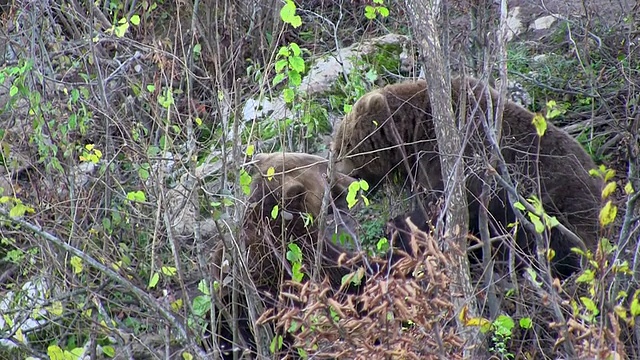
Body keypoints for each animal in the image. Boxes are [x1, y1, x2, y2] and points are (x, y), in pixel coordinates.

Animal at [330, 76, 604, 278]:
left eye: (344, 144)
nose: (334, 174)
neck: (412, 132)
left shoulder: (448, 158)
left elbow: (435, 212)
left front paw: (397, 230)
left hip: (559, 204)